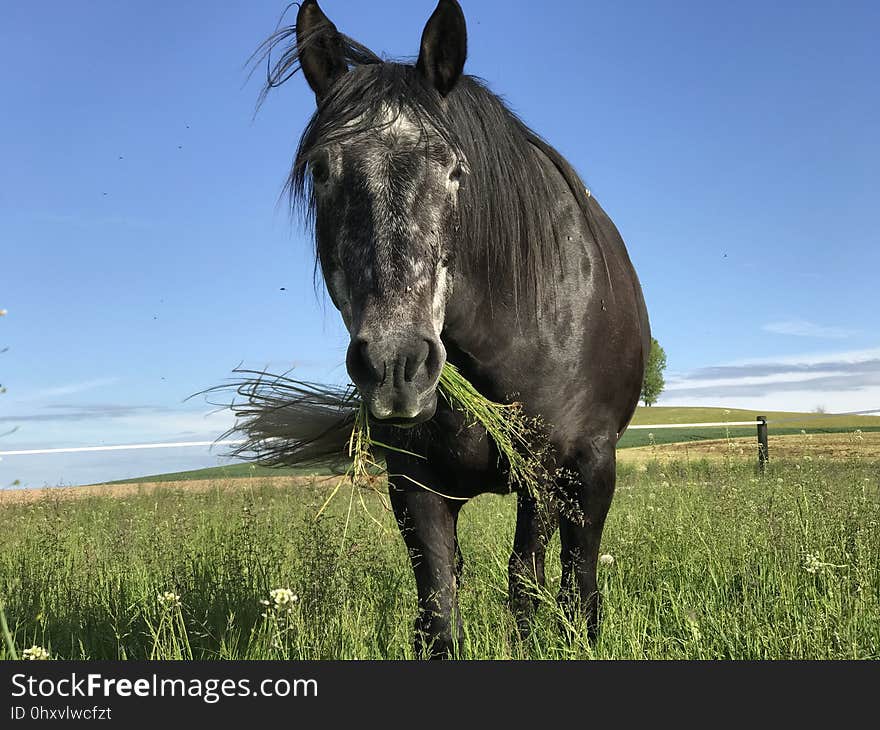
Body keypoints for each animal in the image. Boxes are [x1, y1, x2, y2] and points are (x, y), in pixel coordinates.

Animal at [258, 0, 648, 656]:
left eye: (453, 169)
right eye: (322, 171)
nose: (396, 367)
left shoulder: (542, 471)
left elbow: (525, 586)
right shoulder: (415, 486)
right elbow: (438, 607)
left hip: (591, 470)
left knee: (580, 571)